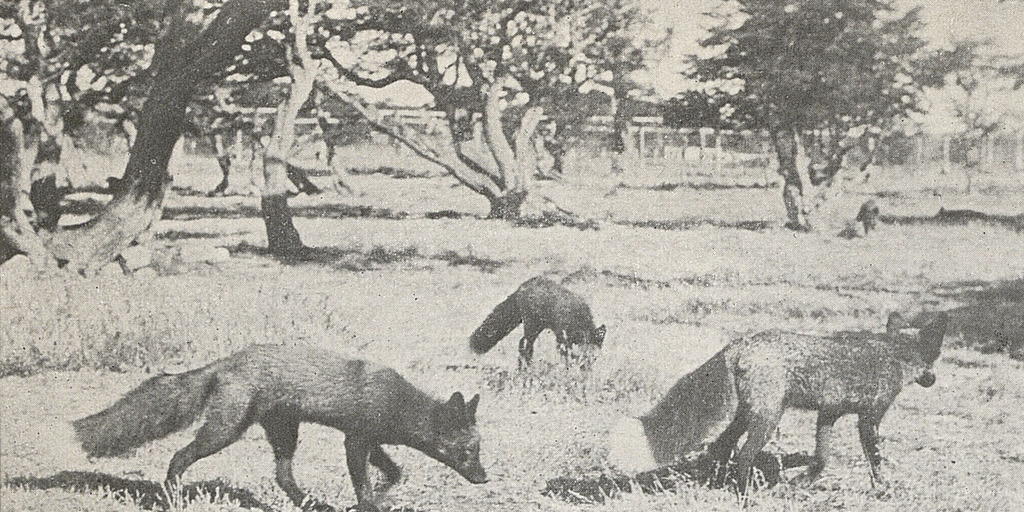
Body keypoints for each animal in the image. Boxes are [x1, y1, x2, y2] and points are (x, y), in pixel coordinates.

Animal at [72, 344, 487, 512]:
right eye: (469, 452)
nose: (484, 479)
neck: (397, 402)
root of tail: (227, 362)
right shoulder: (355, 441)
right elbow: (365, 486)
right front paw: (370, 504)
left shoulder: (371, 441)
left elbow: (395, 473)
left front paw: (383, 494)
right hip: (224, 432)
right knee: (179, 455)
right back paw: (172, 496)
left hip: (284, 433)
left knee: (283, 478)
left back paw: (314, 504)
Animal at [471, 276, 606, 368]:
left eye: (594, 358)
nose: (585, 368)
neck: (577, 317)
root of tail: (522, 286)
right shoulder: (561, 336)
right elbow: (565, 355)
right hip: (531, 326)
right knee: (526, 347)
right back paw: (527, 367)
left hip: (536, 328)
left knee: (522, 344)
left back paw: (523, 367)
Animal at [606, 311, 950, 491]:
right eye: (934, 361)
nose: (933, 380)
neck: (894, 355)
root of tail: (740, 343)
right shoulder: (869, 419)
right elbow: (875, 461)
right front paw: (884, 489)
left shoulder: (828, 414)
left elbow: (821, 459)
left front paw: (801, 482)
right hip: (768, 419)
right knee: (744, 455)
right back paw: (745, 496)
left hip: (747, 416)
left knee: (720, 448)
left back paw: (718, 484)